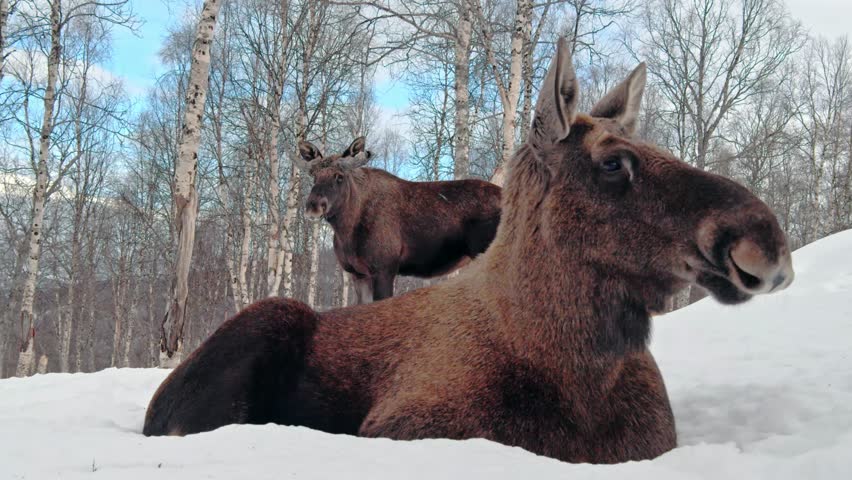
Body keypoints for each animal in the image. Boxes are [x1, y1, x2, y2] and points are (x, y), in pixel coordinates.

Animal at [298, 137, 501, 303]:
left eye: (339, 177)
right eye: (314, 176)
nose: (313, 205)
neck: (346, 230)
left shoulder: (384, 269)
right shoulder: (358, 274)